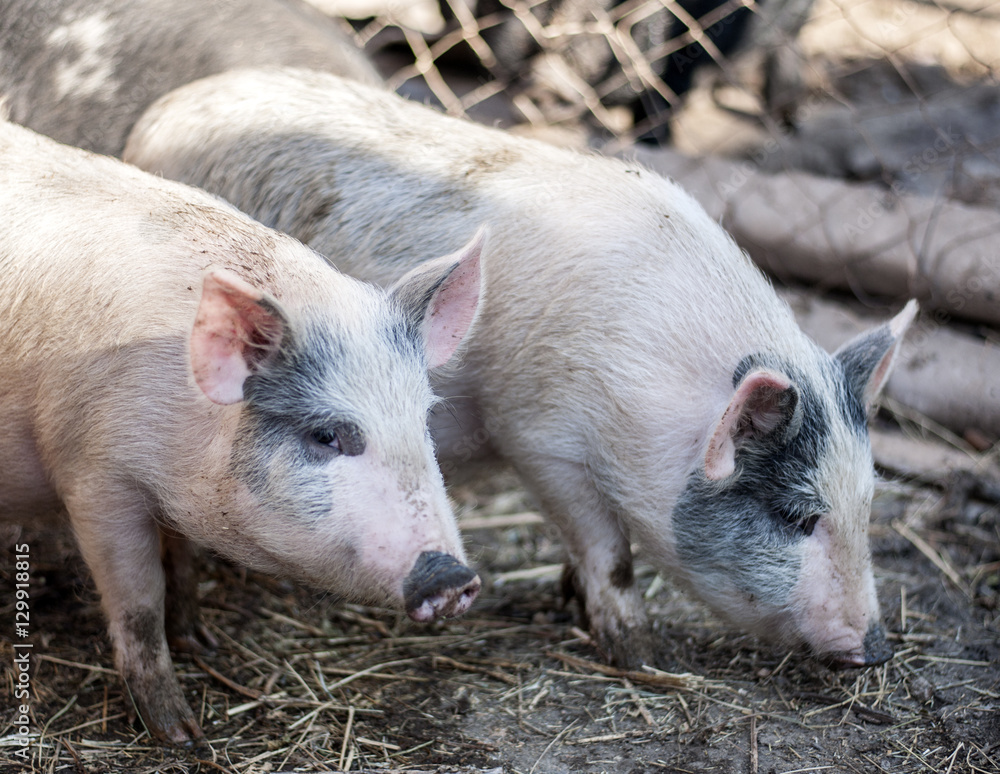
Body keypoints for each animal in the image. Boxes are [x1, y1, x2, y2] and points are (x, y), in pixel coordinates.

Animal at [0, 119, 483, 744]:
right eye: (326, 436)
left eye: (422, 419)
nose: (452, 577)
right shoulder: (93, 476)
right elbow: (138, 602)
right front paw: (182, 737)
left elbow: (180, 564)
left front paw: (201, 641)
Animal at [124, 67, 916, 670]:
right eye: (795, 516)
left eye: (867, 503)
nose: (877, 650)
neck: (647, 397)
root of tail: (164, 111)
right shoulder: (541, 439)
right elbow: (608, 549)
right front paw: (642, 655)